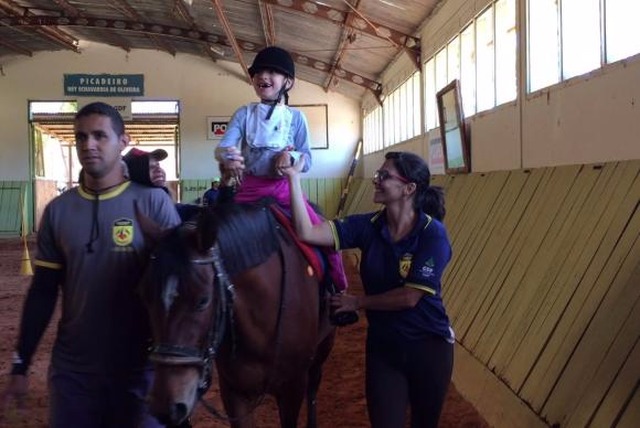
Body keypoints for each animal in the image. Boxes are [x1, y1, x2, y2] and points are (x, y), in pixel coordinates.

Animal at [136, 202, 336, 428]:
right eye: (144, 296)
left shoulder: (293, 387)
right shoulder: (234, 391)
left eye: (203, 300)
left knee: (314, 384)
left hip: (323, 347)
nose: (165, 406)